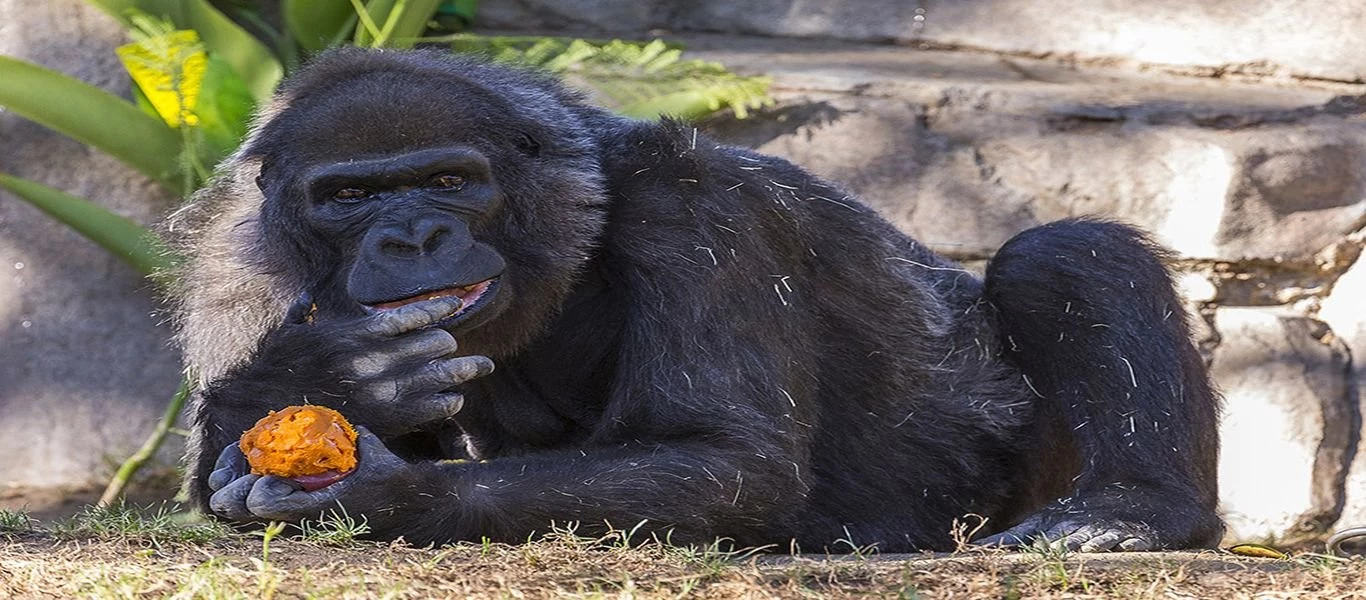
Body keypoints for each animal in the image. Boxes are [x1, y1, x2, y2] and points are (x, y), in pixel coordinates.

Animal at [168, 48, 1229, 554]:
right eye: (348, 197)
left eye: (447, 180)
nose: (412, 238)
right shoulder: (236, 262)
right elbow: (212, 473)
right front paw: (332, 375)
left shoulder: (701, 202)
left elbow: (725, 460)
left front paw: (391, 491)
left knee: (1062, 259)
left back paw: (1133, 513)